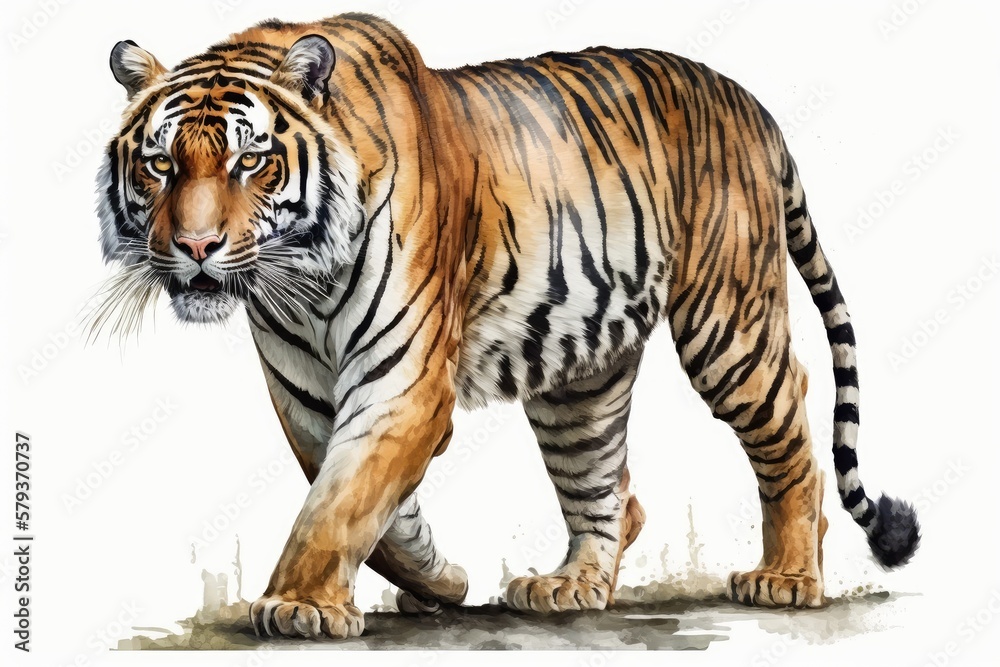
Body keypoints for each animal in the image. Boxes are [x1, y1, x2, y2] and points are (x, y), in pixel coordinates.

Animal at [95, 12, 920, 640]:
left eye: (250, 161)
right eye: (161, 165)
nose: (195, 247)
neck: (300, 282)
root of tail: (751, 104)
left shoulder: (404, 379)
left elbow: (338, 501)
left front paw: (298, 604)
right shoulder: (305, 391)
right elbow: (362, 502)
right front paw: (439, 580)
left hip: (728, 324)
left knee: (792, 435)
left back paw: (787, 575)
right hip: (581, 382)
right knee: (608, 487)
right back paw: (574, 583)